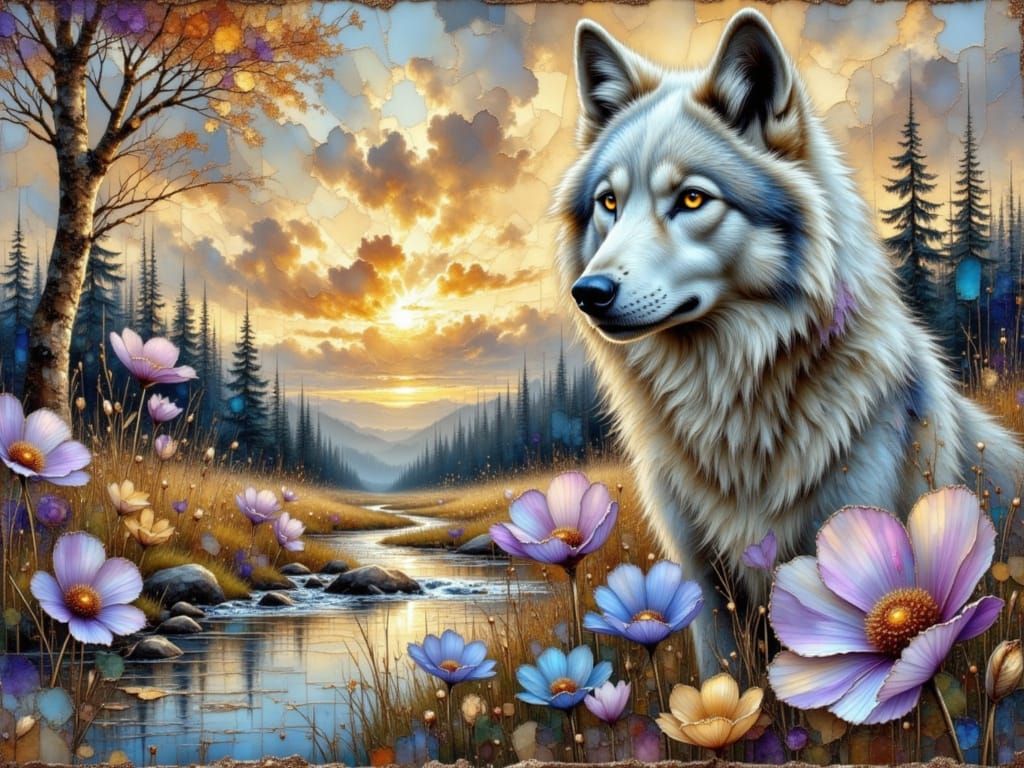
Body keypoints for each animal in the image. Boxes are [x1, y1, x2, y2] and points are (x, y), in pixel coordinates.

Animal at [554, 9, 1024, 681]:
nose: (587, 293)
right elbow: (726, 689)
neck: (732, 402)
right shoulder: (706, 586)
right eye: (609, 203)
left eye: (691, 198)